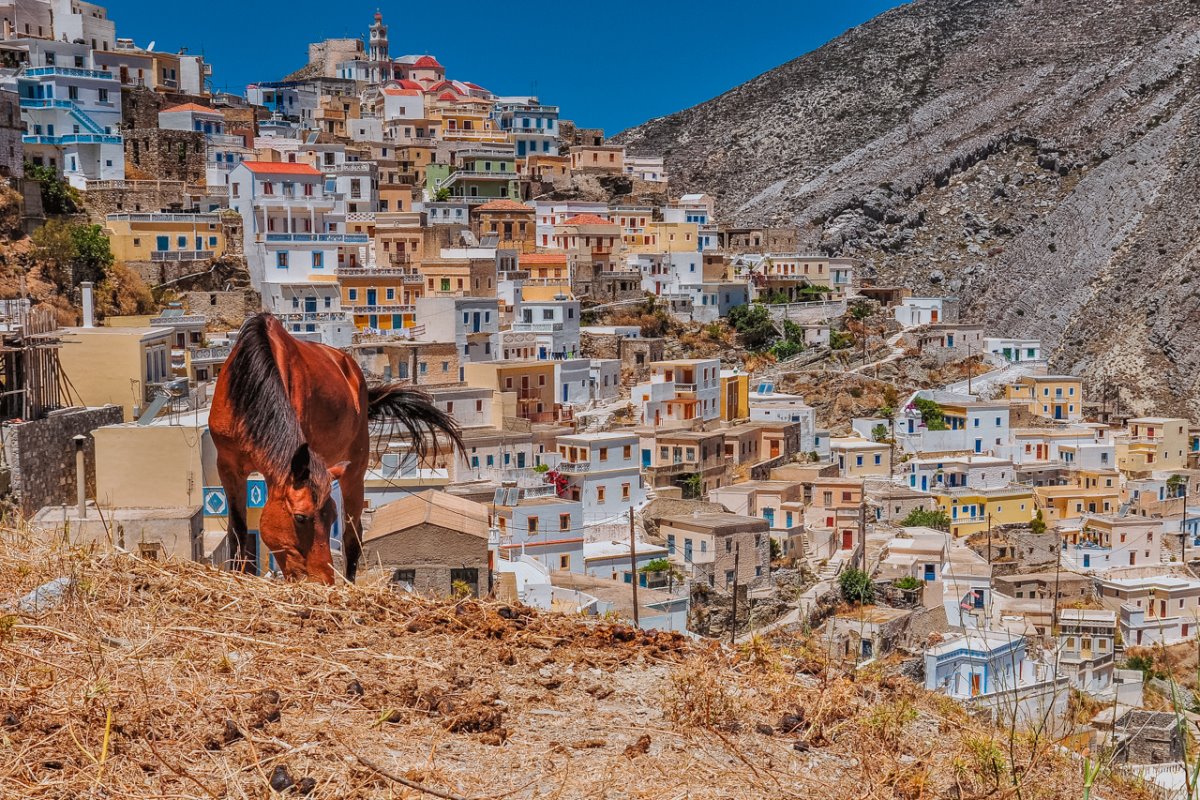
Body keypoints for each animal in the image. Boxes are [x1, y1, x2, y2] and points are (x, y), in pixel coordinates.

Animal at [211, 316, 463, 585]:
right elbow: (237, 530)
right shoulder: (227, 466)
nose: (324, 580)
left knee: (352, 535)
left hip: (355, 469)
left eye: (331, 517)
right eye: (300, 517)